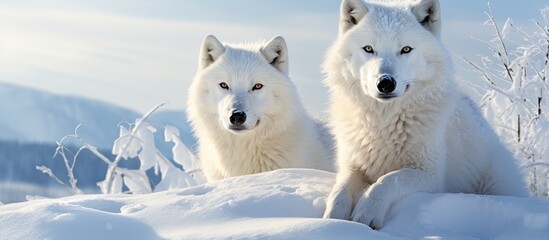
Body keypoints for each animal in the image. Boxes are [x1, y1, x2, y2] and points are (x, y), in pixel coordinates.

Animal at [324, 0, 528, 230]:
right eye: (368, 49)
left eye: (405, 49)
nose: (385, 83)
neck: (383, 122)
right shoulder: (351, 165)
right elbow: (340, 189)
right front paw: (332, 220)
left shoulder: (430, 176)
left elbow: (386, 181)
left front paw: (366, 215)